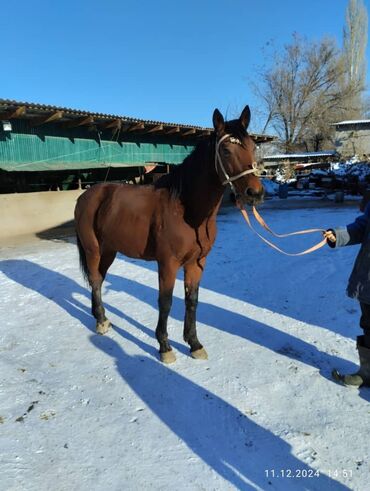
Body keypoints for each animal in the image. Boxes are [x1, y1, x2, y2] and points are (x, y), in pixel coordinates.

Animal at [74, 105, 264, 364]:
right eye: (225, 150)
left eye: (252, 147)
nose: (255, 193)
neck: (186, 209)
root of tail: (86, 195)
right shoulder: (168, 263)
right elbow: (165, 302)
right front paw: (165, 346)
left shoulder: (197, 262)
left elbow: (192, 301)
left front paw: (194, 344)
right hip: (93, 250)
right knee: (94, 280)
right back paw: (101, 321)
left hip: (109, 251)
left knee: (100, 280)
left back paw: (101, 318)